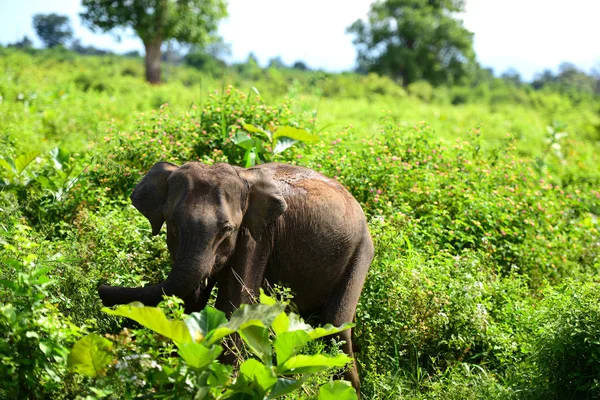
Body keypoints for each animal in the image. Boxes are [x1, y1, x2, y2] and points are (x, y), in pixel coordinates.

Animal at [97, 160, 376, 390]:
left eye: (227, 230)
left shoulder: (257, 238)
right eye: (173, 225)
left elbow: (235, 304)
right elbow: (193, 300)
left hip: (361, 253)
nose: (101, 286)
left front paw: (222, 385)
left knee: (337, 325)